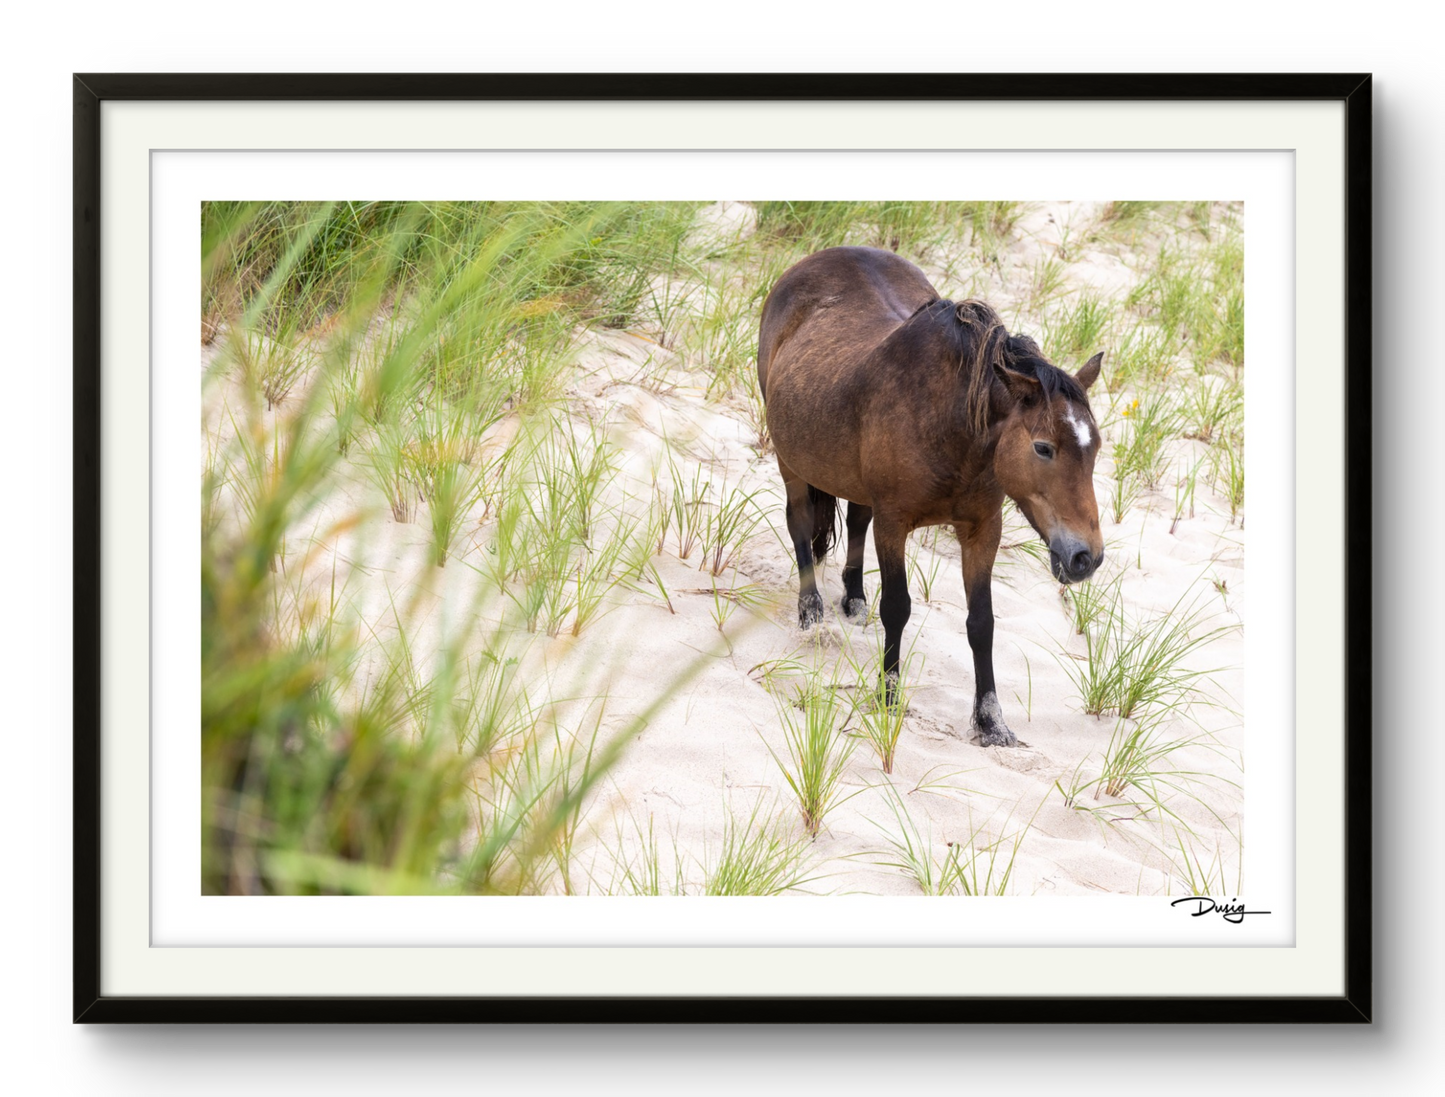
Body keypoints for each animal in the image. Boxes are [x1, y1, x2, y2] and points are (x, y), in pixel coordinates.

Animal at [757, 247, 1103, 745]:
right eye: (1043, 448)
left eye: (1095, 447)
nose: (1086, 558)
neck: (951, 425)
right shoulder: (894, 524)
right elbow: (897, 607)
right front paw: (887, 696)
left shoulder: (982, 531)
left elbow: (982, 623)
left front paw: (990, 721)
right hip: (791, 462)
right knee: (800, 521)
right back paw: (811, 611)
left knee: (856, 519)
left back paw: (853, 598)